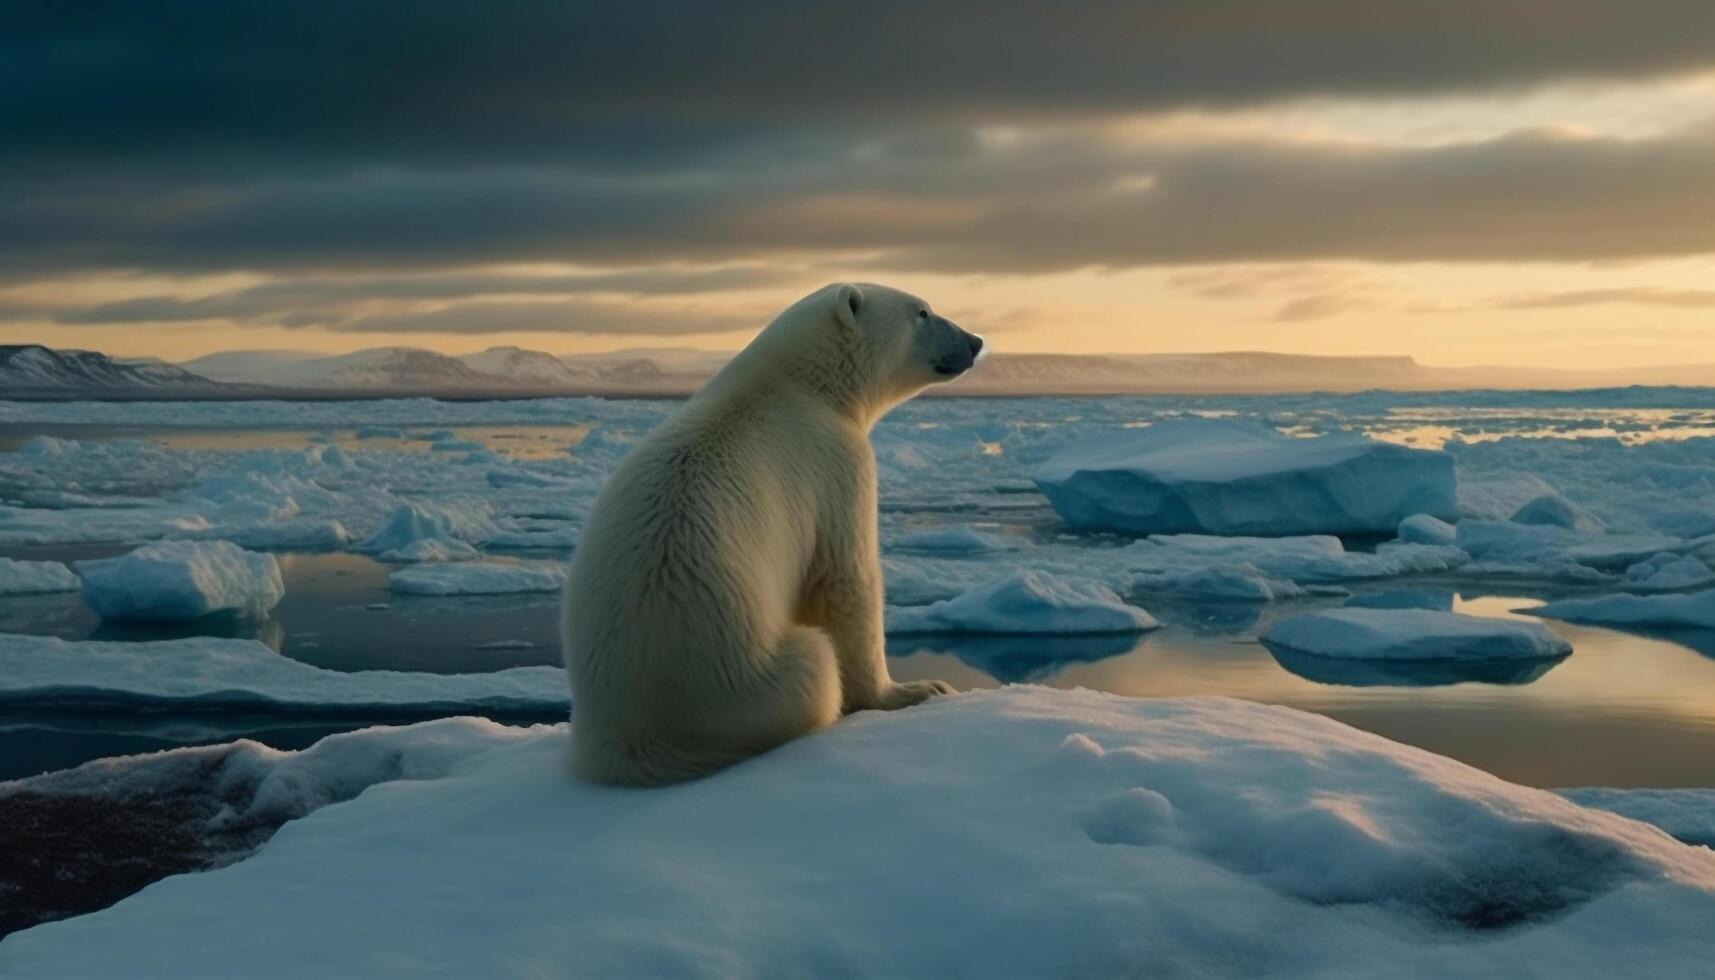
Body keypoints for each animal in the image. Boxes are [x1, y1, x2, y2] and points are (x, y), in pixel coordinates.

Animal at [562, 281, 987, 782]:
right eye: (922, 311)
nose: (975, 342)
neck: (805, 383)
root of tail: (637, 747)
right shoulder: (837, 463)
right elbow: (846, 577)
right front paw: (914, 689)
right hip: (751, 682)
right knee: (815, 663)